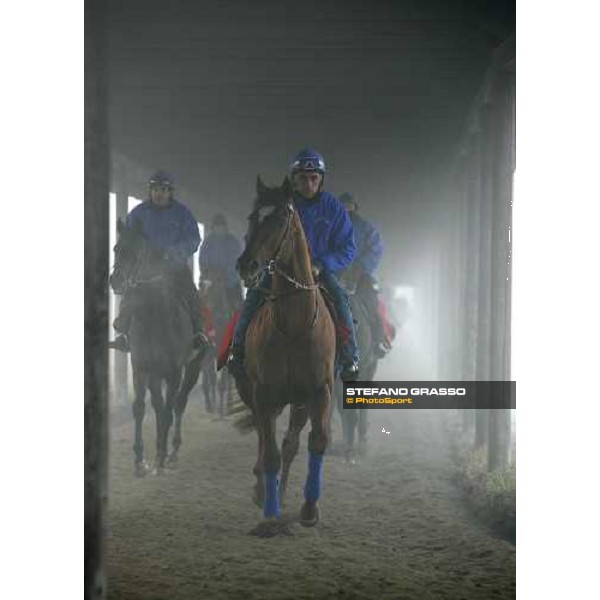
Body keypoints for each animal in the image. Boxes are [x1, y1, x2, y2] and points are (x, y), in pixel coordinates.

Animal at [109, 218, 206, 476]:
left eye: (137, 252)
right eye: (116, 248)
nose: (116, 280)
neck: (155, 316)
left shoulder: (174, 372)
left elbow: (170, 409)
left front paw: (161, 458)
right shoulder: (141, 368)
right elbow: (140, 408)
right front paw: (139, 460)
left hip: (192, 368)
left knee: (178, 404)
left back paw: (171, 453)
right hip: (155, 374)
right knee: (159, 406)